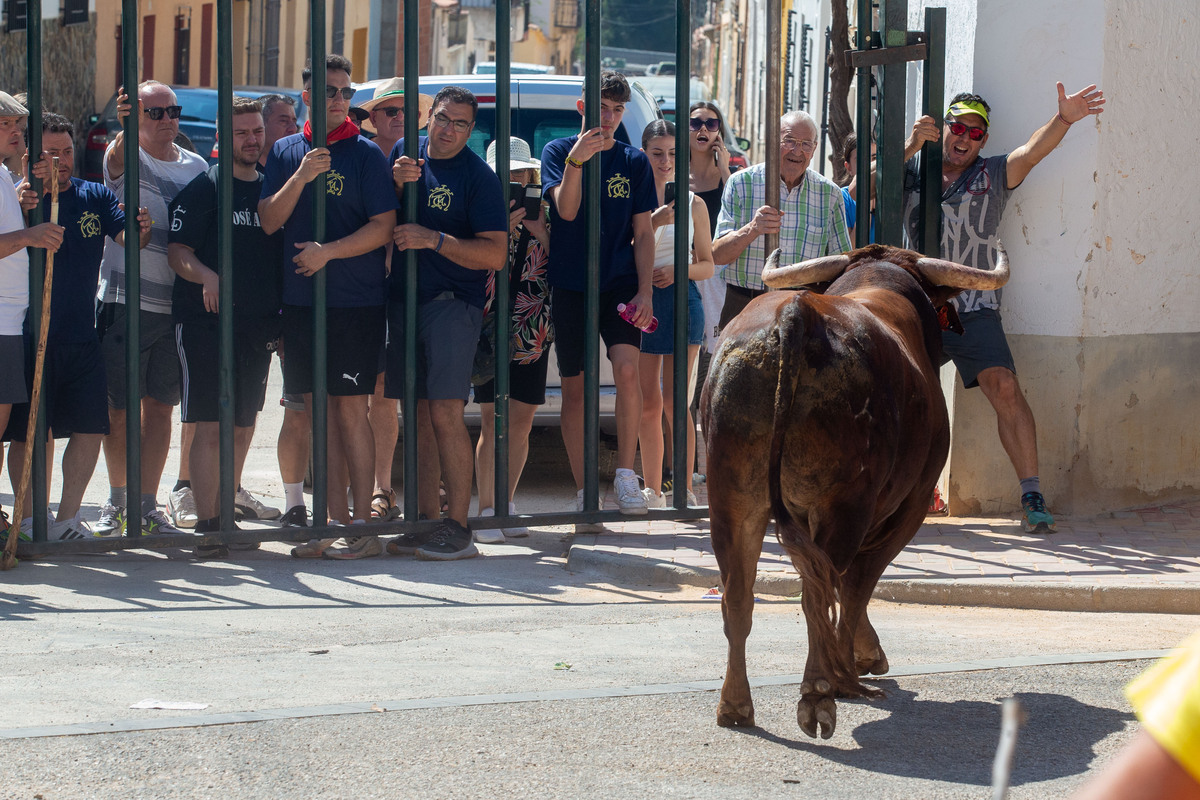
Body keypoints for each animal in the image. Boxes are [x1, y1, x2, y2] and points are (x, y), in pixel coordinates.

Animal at [700, 242, 1008, 738]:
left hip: (732, 499)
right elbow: (859, 584)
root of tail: (797, 313)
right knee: (822, 593)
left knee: (739, 597)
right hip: (845, 505)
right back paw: (822, 692)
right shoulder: (910, 506)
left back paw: (735, 705)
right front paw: (856, 661)